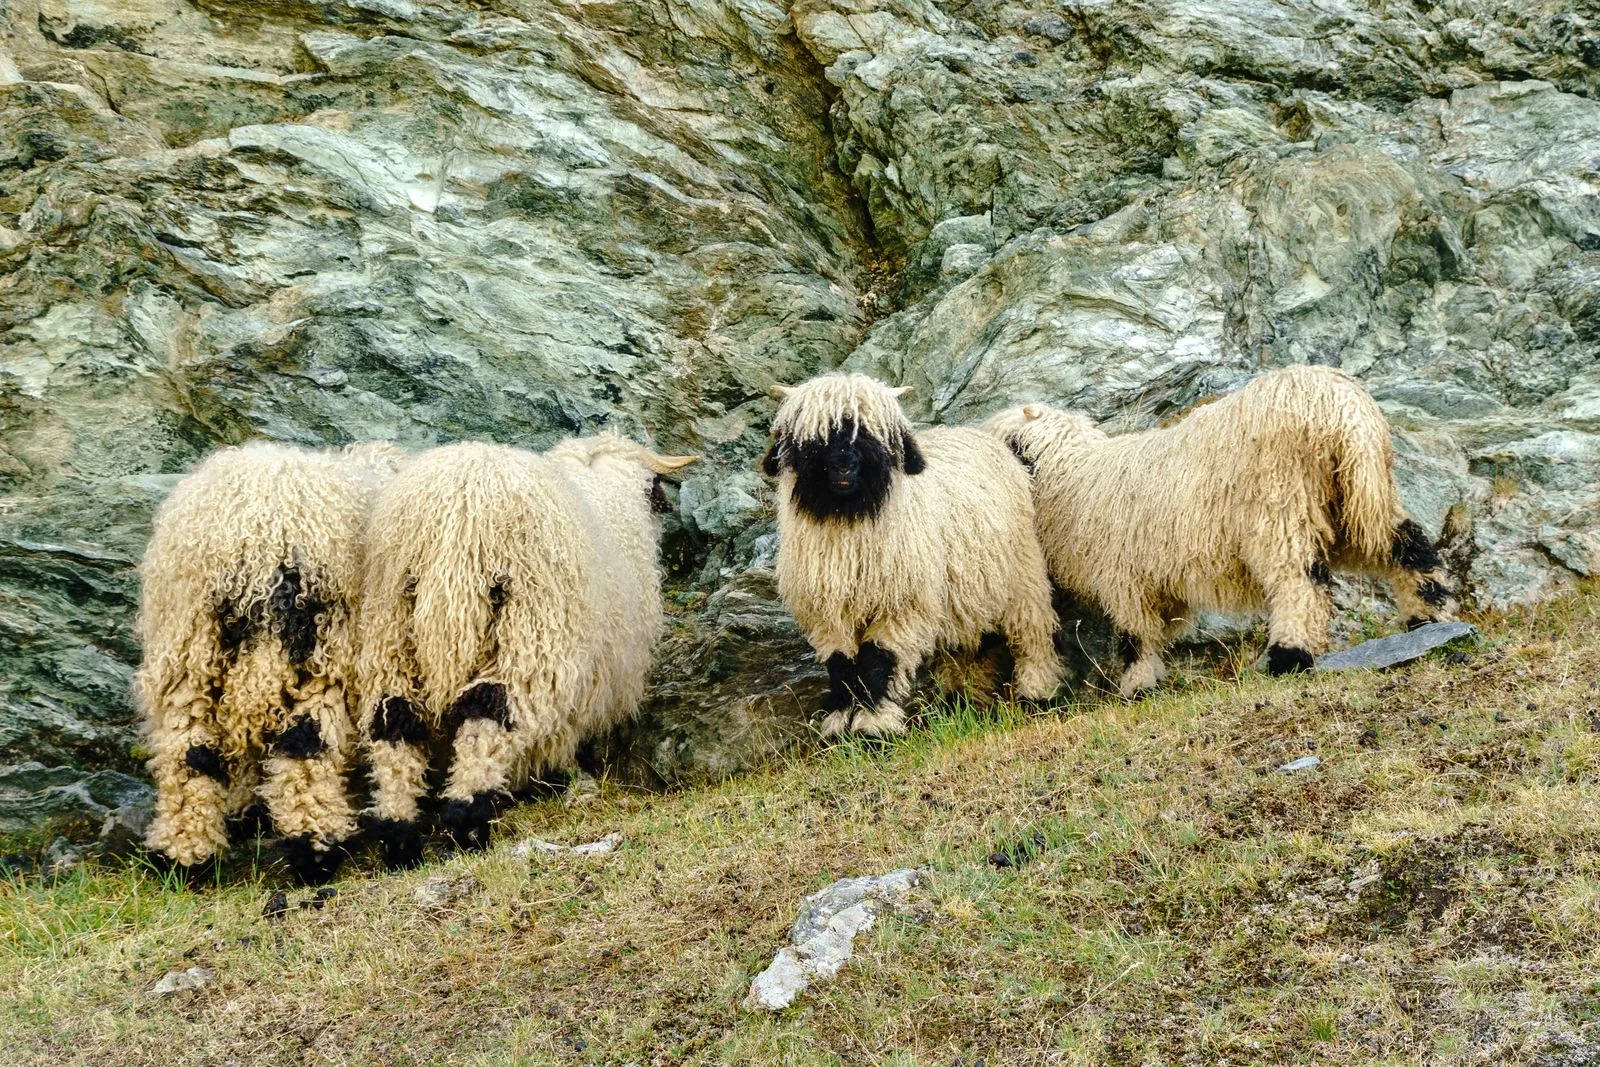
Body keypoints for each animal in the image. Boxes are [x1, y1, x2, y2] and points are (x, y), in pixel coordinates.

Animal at [137, 440, 405, 884]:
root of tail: (257, 530)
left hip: (188, 645)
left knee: (188, 751)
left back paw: (184, 855)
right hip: (322, 649)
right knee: (307, 745)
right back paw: (315, 849)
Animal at [357, 432, 696, 867]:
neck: (606, 494)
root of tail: (455, 517)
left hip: (390, 632)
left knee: (395, 721)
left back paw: (400, 839)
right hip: (527, 636)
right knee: (488, 714)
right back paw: (467, 823)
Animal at [761, 372, 1063, 737]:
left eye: (872, 432)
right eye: (814, 435)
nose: (843, 465)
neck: (848, 519)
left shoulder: (901, 604)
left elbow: (878, 658)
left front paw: (873, 726)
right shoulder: (826, 613)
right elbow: (840, 663)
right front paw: (840, 724)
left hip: (1021, 574)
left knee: (1032, 633)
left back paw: (1037, 693)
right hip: (965, 593)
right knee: (968, 647)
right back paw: (960, 703)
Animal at [985, 364, 1457, 697]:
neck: (1070, 477)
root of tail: (1341, 408)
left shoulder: (1123, 575)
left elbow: (1135, 635)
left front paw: (1137, 686)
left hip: (1282, 504)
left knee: (1299, 582)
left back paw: (1289, 656)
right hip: (1357, 497)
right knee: (1407, 544)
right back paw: (1429, 615)